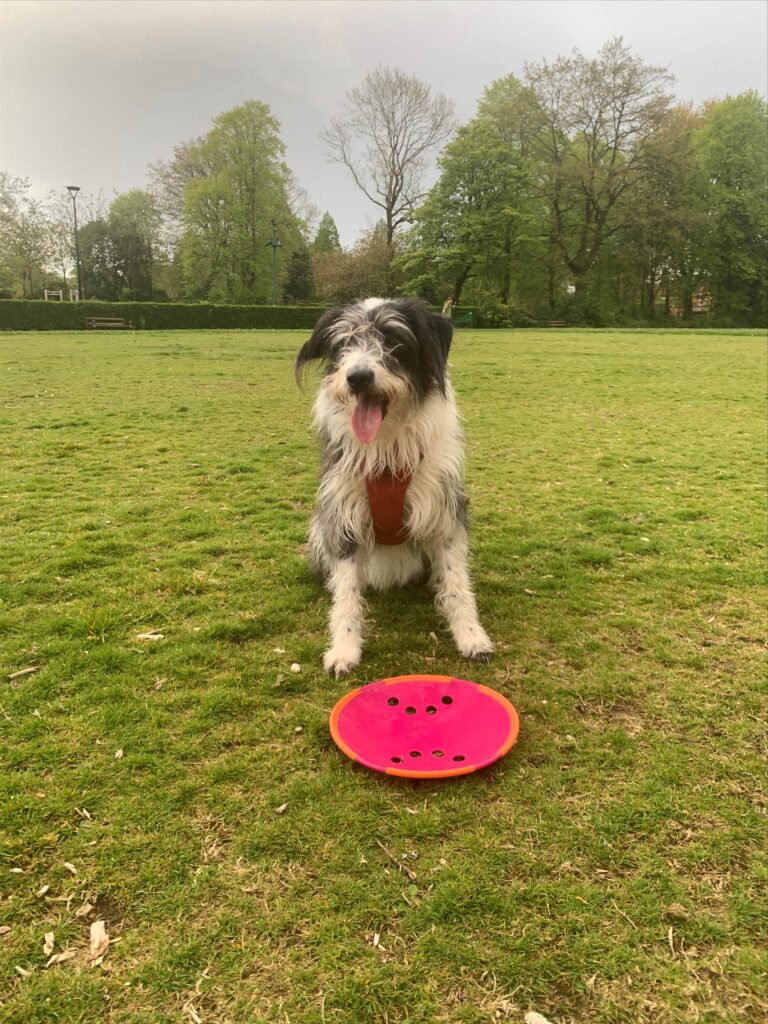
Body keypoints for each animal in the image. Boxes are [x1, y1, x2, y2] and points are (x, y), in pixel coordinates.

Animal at [294, 299, 493, 675]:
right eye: (344, 342)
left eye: (393, 339)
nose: (357, 377)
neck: (386, 448)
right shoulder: (343, 516)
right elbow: (347, 594)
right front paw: (344, 649)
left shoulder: (443, 511)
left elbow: (457, 583)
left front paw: (471, 637)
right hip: (320, 530)